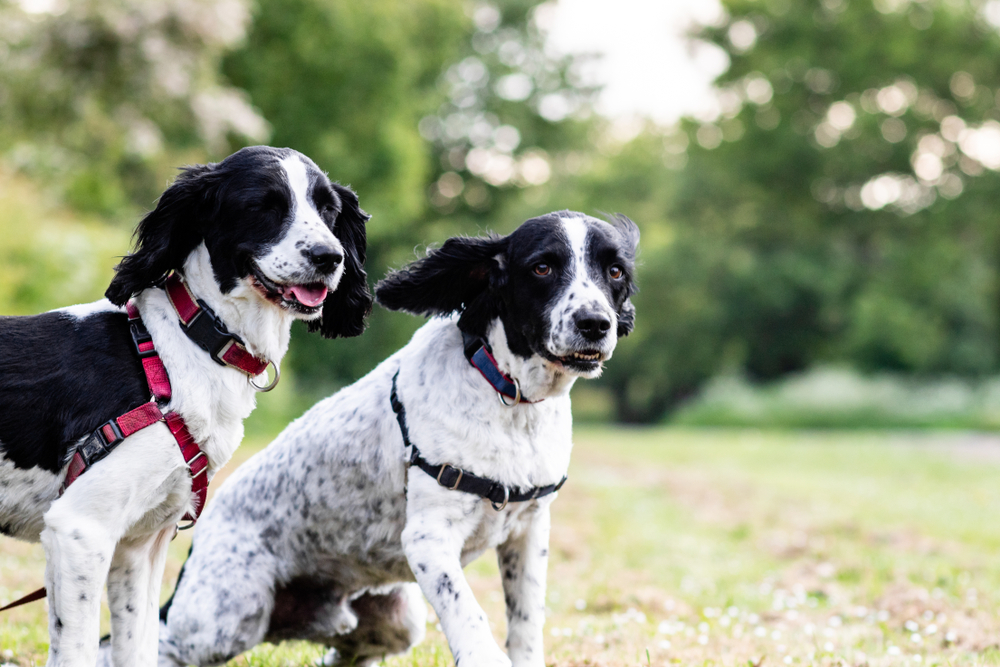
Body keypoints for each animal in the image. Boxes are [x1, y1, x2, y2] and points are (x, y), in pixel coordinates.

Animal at [0, 146, 372, 667]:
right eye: (264, 205)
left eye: (329, 211)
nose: (329, 256)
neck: (184, 345)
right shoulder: (80, 531)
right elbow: (76, 651)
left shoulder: (138, 548)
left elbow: (137, 651)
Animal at [144, 210, 636, 667]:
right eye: (542, 267)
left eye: (615, 272)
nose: (595, 323)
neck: (508, 397)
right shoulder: (429, 539)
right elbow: (473, 623)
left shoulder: (529, 531)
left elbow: (526, 625)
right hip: (224, 617)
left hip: (394, 617)